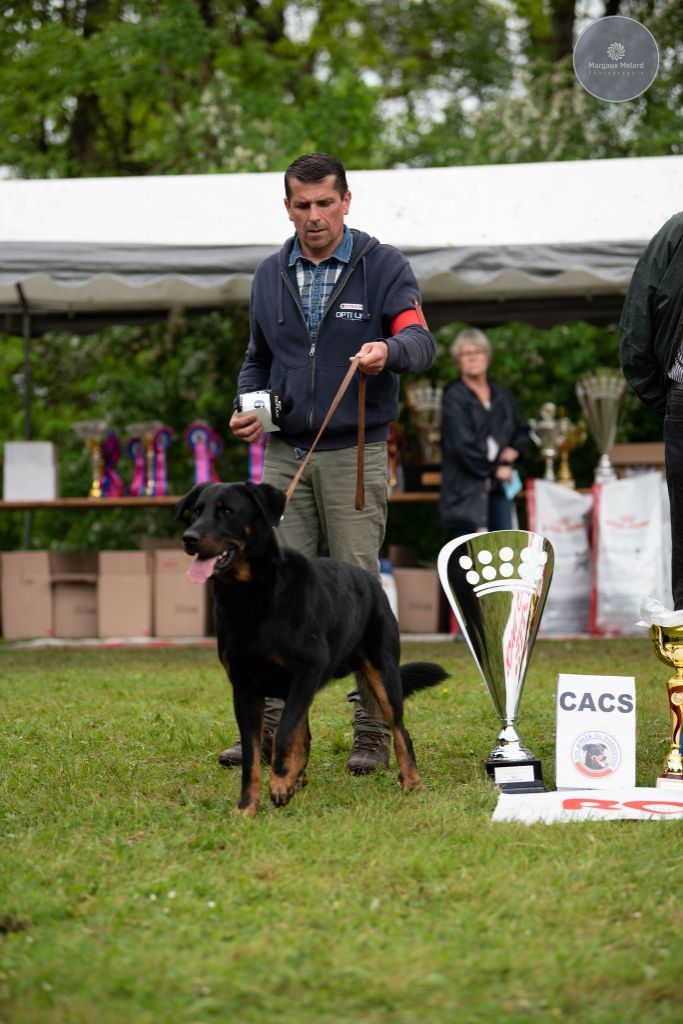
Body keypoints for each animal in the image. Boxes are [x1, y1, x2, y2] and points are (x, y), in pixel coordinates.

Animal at [175, 481, 448, 815]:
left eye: (226, 511)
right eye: (196, 511)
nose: (189, 538)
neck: (252, 595)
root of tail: (371, 581)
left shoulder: (307, 670)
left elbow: (284, 734)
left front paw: (279, 783)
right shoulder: (245, 687)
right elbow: (256, 752)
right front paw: (247, 807)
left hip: (382, 673)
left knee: (399, 729)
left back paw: (411, 781)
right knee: (302, 734)